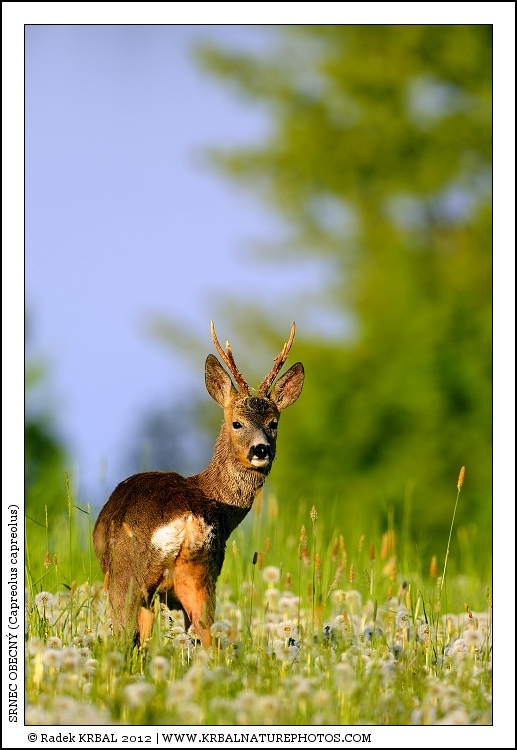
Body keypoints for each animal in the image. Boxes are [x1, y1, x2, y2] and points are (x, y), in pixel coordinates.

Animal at [93, 321, 304, 647]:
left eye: (273, 423)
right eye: (237, 423)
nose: (261, 450)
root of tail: (188, 517)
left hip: (129, 578)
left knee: (126, 639)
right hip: (201, 574)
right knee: (208, 639)